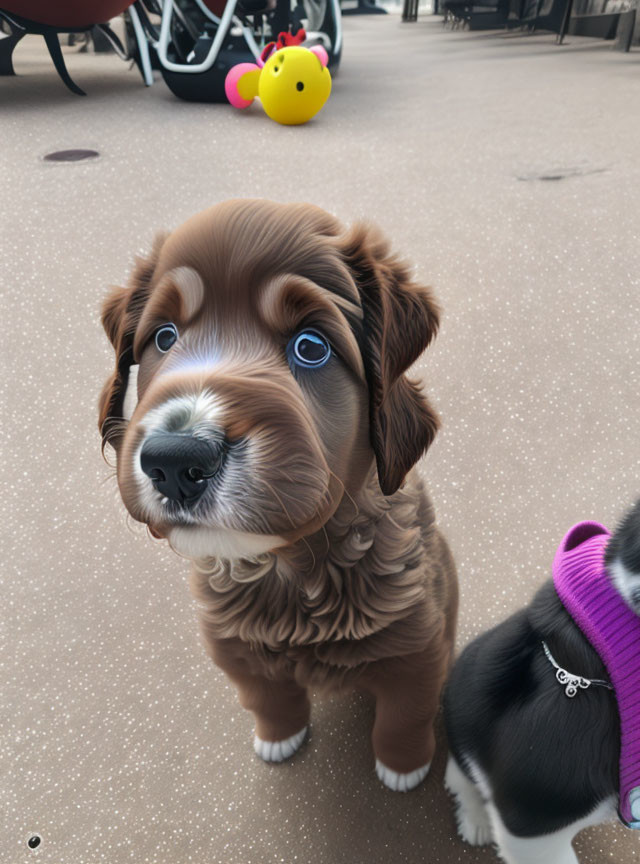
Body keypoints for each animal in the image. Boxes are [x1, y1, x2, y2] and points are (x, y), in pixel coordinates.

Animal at [99, 201, 456, 788]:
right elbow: (267, 696)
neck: (289, 571)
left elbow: (404, 714)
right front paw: (278, 738)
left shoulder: (419, 644)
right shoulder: (234, 648)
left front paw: (403, 768)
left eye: (310, 347)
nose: (174, 462)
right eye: (165, 338)